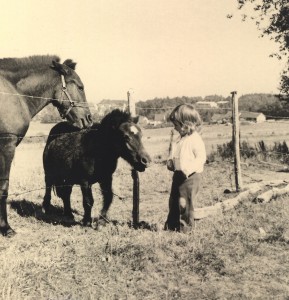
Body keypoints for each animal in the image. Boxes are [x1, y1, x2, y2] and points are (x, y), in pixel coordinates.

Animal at [0, 55, 92, 236]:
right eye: (80, 87)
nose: (88, 118)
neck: (13, 92)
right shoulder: (7, 147)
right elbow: (3, 187)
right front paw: (6, 227)